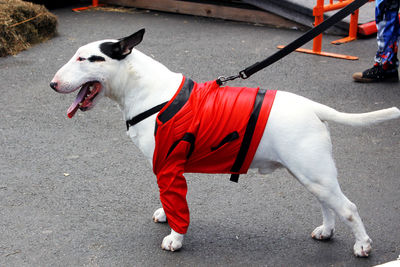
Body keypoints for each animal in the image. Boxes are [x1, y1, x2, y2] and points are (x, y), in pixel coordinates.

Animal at [50, 28, 400, 258]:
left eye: (86, 58)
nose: (52, 84)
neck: (149, 92)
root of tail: (314, 107)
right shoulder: (164, 168)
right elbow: (167, 200)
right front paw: (166, 216)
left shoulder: (169, 166)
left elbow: (178, 204)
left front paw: (176, 238)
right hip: (311, 175)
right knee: (328, 203)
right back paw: (326, 231)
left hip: (314, 172)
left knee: (349, 208)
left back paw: (363, 246)